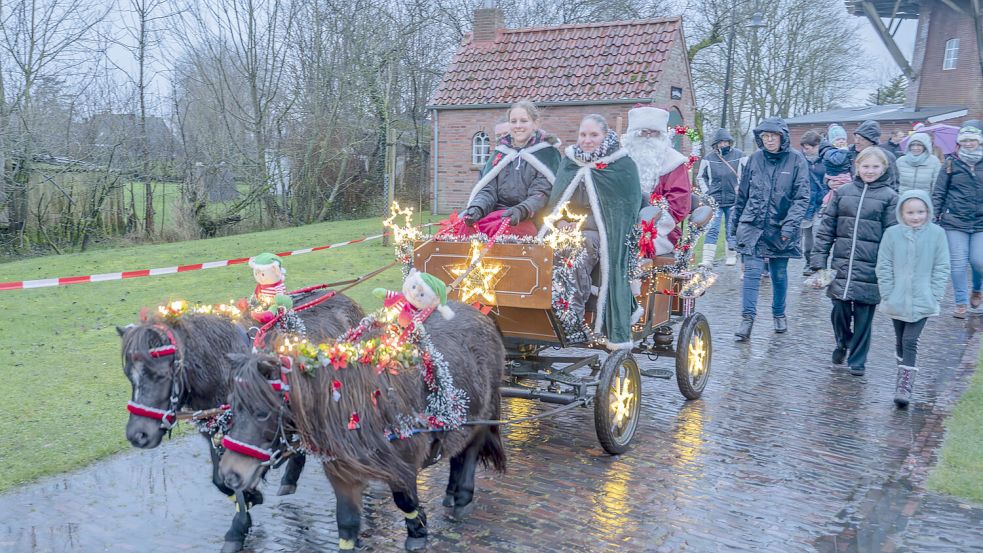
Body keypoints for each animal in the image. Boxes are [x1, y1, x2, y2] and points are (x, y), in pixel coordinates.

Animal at [118, 288, 364, 552]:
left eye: (161, 374)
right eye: (129, 375)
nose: (137, 435)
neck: (222, 371)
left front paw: (238, 526)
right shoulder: (217, 430)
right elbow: (221, 479)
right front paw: (249, 503)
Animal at [222, 304, 508, 548]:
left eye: (262, 413)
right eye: (231, 406)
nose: (229, 475)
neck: (353, 407)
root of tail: (481, 315)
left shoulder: (403, 466)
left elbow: (406, 502)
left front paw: (417, 532)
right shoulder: (343, 476)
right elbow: (347, 523)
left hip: (480, 420)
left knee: (470, 453)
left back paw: (462, 498)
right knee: (457, 454)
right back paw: (450, 492)